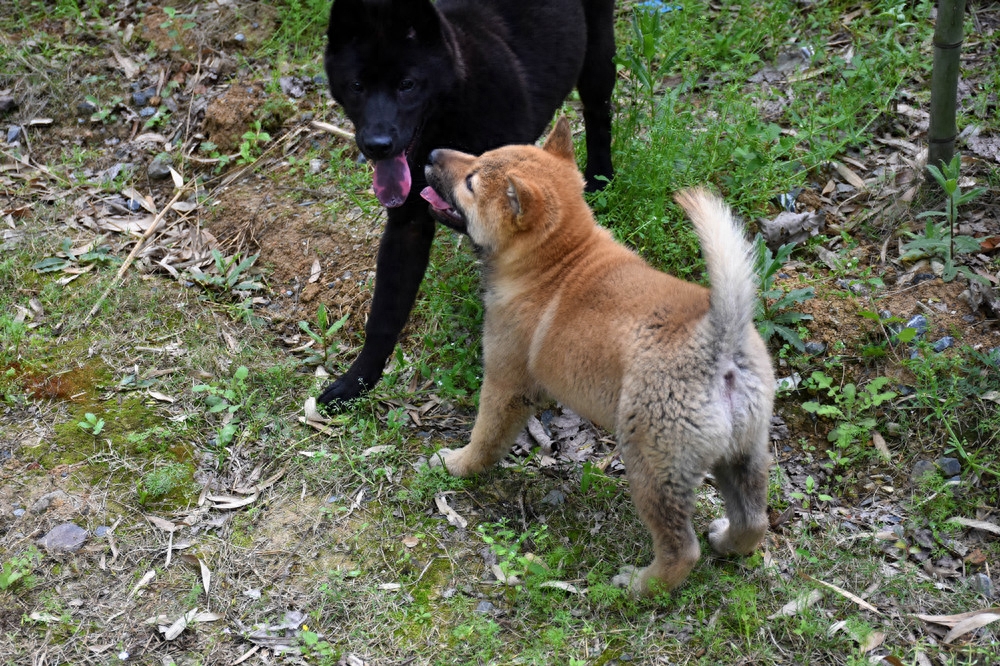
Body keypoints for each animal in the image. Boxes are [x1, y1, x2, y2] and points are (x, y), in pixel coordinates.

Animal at [320, 0, 616, 404]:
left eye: (408, 85)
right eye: (357, 86)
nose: (377, 145)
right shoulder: (406, 226)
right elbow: (384, 313)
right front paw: (358, 380)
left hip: (599, 53)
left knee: (599, 112)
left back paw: (601, 177)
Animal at [420, 118, 772, 592]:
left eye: (471, 182)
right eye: (478, 156)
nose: (431, 153)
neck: (555, 261)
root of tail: (719, 342)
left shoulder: (506, 383)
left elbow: (486, 437)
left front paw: (458, 464)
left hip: (651, 465)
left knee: (681, 550)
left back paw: (639, 586)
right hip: (742, 454)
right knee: (754, 521)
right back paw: (728, 543)